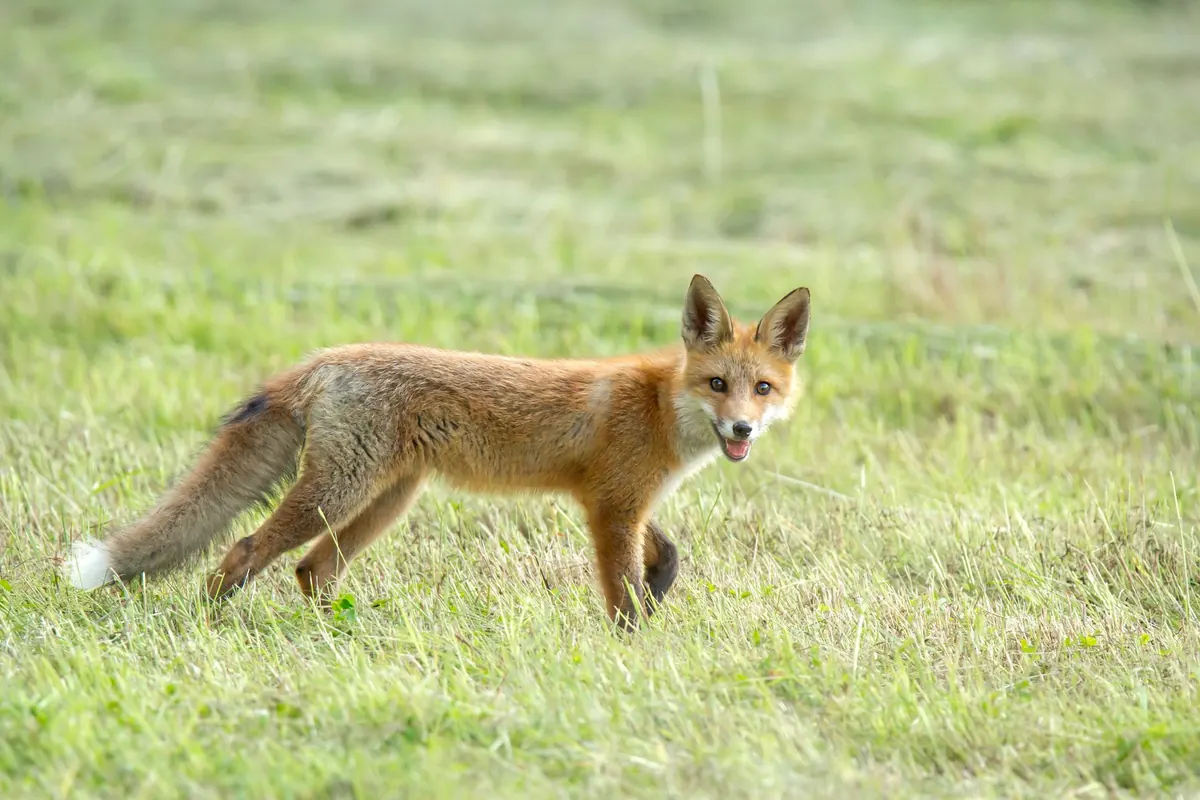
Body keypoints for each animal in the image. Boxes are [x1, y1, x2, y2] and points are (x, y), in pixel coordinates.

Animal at [64, 274, 810, 630]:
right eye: (717, 385)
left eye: (762, 389)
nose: (741, 431)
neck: (658, 408)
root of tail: (322, 360)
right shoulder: (612, 508)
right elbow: (621, 594)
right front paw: (634, 647)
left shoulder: (616, 500)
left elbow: (668, 556)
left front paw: (657, 596)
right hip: (339, 493)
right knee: (246, 549)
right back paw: (207, 624)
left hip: (385, 501)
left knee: (312, 569)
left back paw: (339, 642)